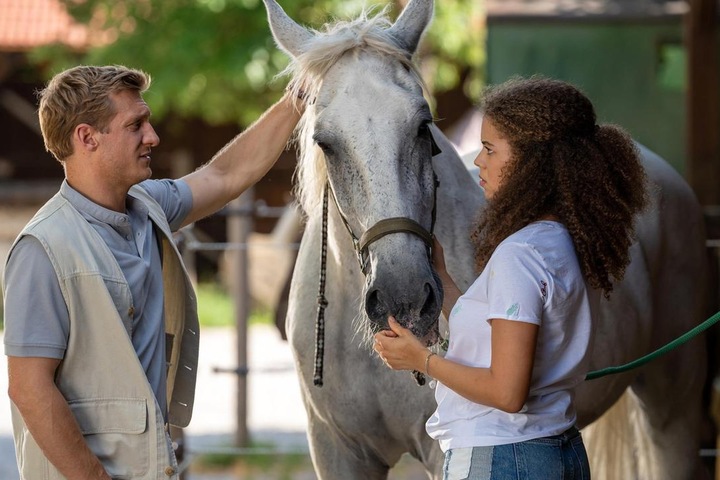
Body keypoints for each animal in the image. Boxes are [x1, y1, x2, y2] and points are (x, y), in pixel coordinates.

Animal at [262, 1, 708, 478]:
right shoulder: (337, 451)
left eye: (422, 126)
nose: (404, 297)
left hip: (674, 409)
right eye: (325, 143)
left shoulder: (443, 445)